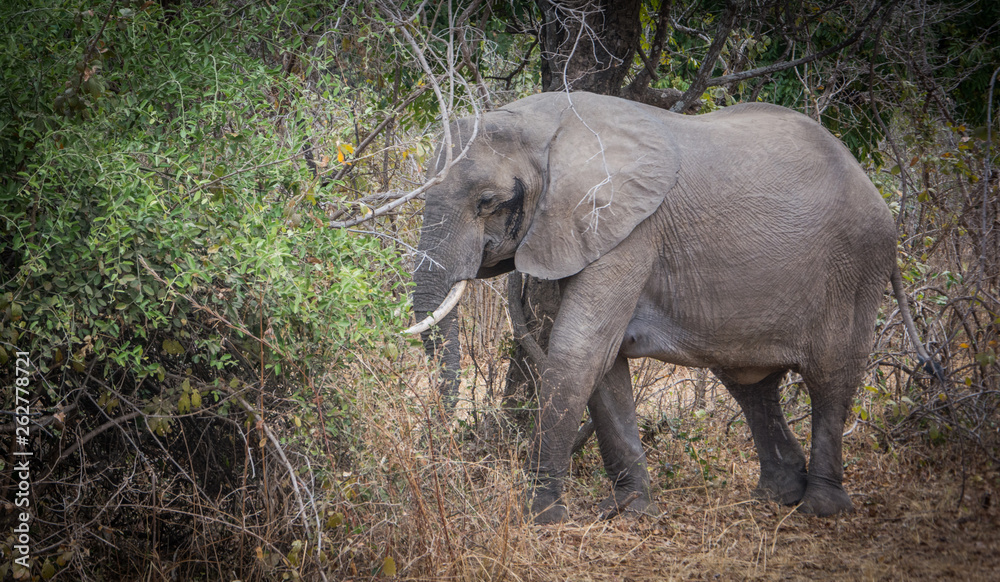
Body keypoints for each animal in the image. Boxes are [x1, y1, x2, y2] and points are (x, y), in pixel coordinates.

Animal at [406, 91, 934, 523]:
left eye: (487, 201)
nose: (443, 449)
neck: (549, 127)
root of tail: (876, 192)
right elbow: (603, 365)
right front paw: (630, 511)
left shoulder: (629, 232)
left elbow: (579, 351)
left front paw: (542, 517)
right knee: (751, 383)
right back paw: (777, 495)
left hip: (856, 267)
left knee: (831, 378)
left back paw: (819, 508)